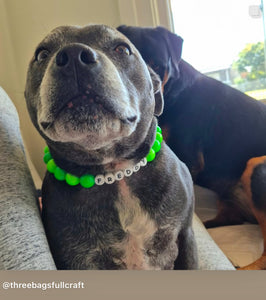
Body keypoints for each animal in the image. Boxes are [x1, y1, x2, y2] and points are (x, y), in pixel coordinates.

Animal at [24, 24, 197, 270]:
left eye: (123, 49)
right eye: (41, 54)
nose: (73, 55)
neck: (115, 171)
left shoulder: (186, 236)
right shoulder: (75, 259)